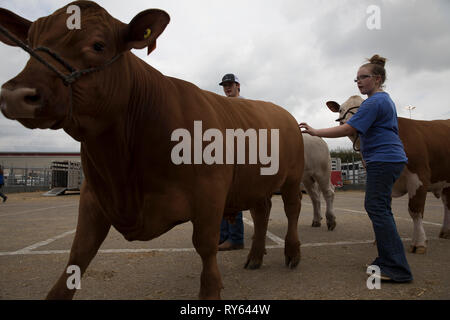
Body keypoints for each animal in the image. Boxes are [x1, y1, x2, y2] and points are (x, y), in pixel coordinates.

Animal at [0, 1, 304, 300]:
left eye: (98, 45)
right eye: (29, 44)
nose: (15, 95)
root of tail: (283, 112)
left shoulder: (211, 192)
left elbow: (205, 246)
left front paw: (210, 291)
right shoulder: (93, 196)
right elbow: (78, 254)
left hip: (292, 177)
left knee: (292, 210)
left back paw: (292, 253)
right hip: (256, 184)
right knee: (262, 212)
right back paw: (255, 257)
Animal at [326, 95, 450, 252]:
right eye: (341, 109)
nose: (354, 124)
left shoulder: (419, 176)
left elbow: (415, 211)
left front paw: (419, 243)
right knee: (447, 204)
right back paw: (445, 231)